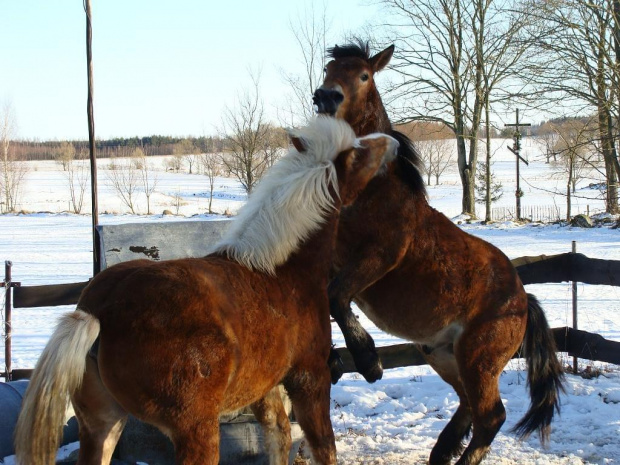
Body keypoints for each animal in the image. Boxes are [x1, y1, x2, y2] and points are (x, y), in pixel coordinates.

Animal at [15, 116, 402, 464]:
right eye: (361, 152)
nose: (394, 143)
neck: (283, 270)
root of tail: (99, 310)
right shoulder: (310, 379)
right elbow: (324, 448)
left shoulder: (266, 390)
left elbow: (278, 439)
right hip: (195, 429)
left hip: (102, 424)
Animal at [312, 40, 564, 464]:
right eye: (328, 69)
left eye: (363, 75)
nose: (326, 98)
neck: (370, 189)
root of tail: (522, 299)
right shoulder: (330, 262)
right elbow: (326, 303)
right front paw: (333, 361)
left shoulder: (380, 255)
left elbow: (336, 298)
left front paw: (369, 362)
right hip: (445, 357)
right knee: (468, 409)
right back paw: (442, 451)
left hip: (478, 360)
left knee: (491, 416)